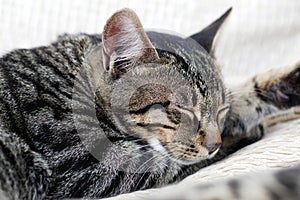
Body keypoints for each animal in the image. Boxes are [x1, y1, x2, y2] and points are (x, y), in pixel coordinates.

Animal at [0, 7, 298, 199]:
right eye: (183, 109)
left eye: (221, 111)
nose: (215, 143)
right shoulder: (89, 170)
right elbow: (173, 164)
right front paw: (243, 134)